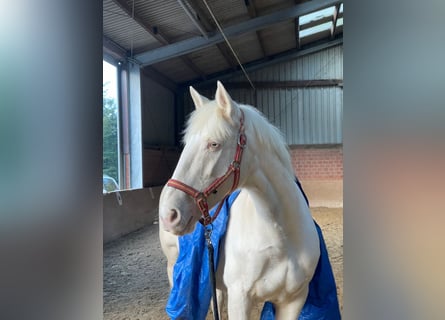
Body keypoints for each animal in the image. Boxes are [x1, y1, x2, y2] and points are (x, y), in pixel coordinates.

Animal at [158, 81, 318, 318]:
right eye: (185, 145)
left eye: (214, 144)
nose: (169, 214)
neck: (282, 237)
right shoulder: (240, 299)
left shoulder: (294, 301)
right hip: (173, 268)